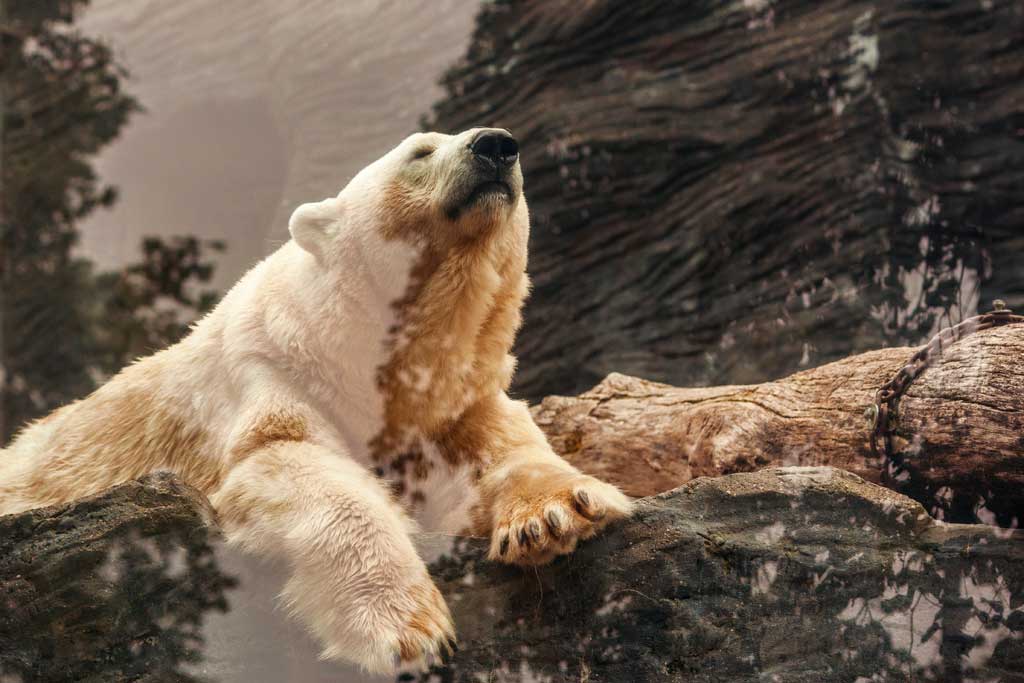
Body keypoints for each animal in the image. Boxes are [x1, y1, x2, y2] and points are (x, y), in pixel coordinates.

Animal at [0, 128, 632, 673]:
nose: (496, 145)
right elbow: (291, 461)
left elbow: (505, 447)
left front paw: (556, 515)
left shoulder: (453, 403)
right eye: (420, 151)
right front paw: (410, 631)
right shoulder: (271, 371)